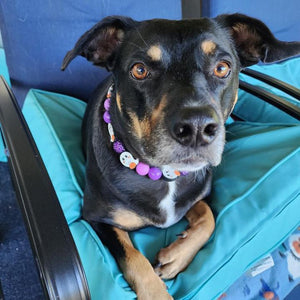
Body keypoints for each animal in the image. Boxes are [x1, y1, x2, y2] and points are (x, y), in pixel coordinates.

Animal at [61, 13, 300, 298]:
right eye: (139, 70)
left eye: (222, 68)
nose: (196, 128)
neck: (162, 174)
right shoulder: (97, 218)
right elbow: (134, 259)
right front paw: (156, 290)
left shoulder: (200, 195)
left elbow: (208, 219)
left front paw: (175, 257)